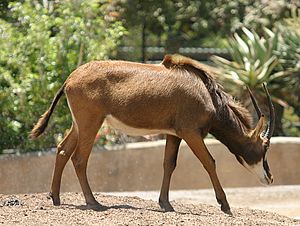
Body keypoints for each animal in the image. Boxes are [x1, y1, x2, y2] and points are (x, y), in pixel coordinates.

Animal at [30, 53, 274, 215]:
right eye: (263, 147)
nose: (270, 178)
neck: (208, 96)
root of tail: (69, 79)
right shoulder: (191, 132)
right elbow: (209, 162)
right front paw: (225, 205)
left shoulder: (174, 134)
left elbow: (169, 164)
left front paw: (165, 204)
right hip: (91, 123)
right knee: (79, 158)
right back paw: (93, 202)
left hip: (79, 124)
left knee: (62, 150)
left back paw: (56, 198)